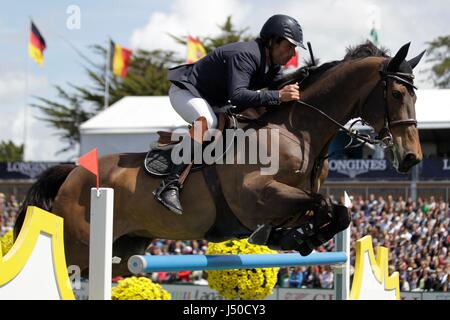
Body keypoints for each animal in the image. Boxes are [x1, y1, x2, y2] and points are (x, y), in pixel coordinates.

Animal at [14, 41, 426, 276]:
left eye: (415, 96)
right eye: (395, 93)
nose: (411, 158)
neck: (298, 130)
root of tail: (74, 173)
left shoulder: (289, 201)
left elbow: (337, 211)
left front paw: (296, 237)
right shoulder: (256, 197)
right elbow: (323, 203)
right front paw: (292, 236)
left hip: (124, 249)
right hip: (76, 244)